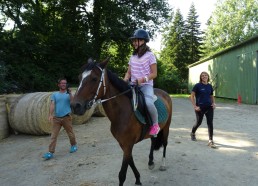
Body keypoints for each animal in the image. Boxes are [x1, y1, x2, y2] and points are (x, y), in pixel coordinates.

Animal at [70, 58, 172, 186]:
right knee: (153, 140)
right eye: (79, 77)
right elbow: (131, 162)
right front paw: (138, 179)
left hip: (167, 127)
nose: (75, 106)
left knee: (165, 143)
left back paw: (163, 164)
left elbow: (122, 174)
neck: (122, 112)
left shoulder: (128, 144)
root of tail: (165, 93)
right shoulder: (124, 144)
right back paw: (150, 162)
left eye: (94, 78)